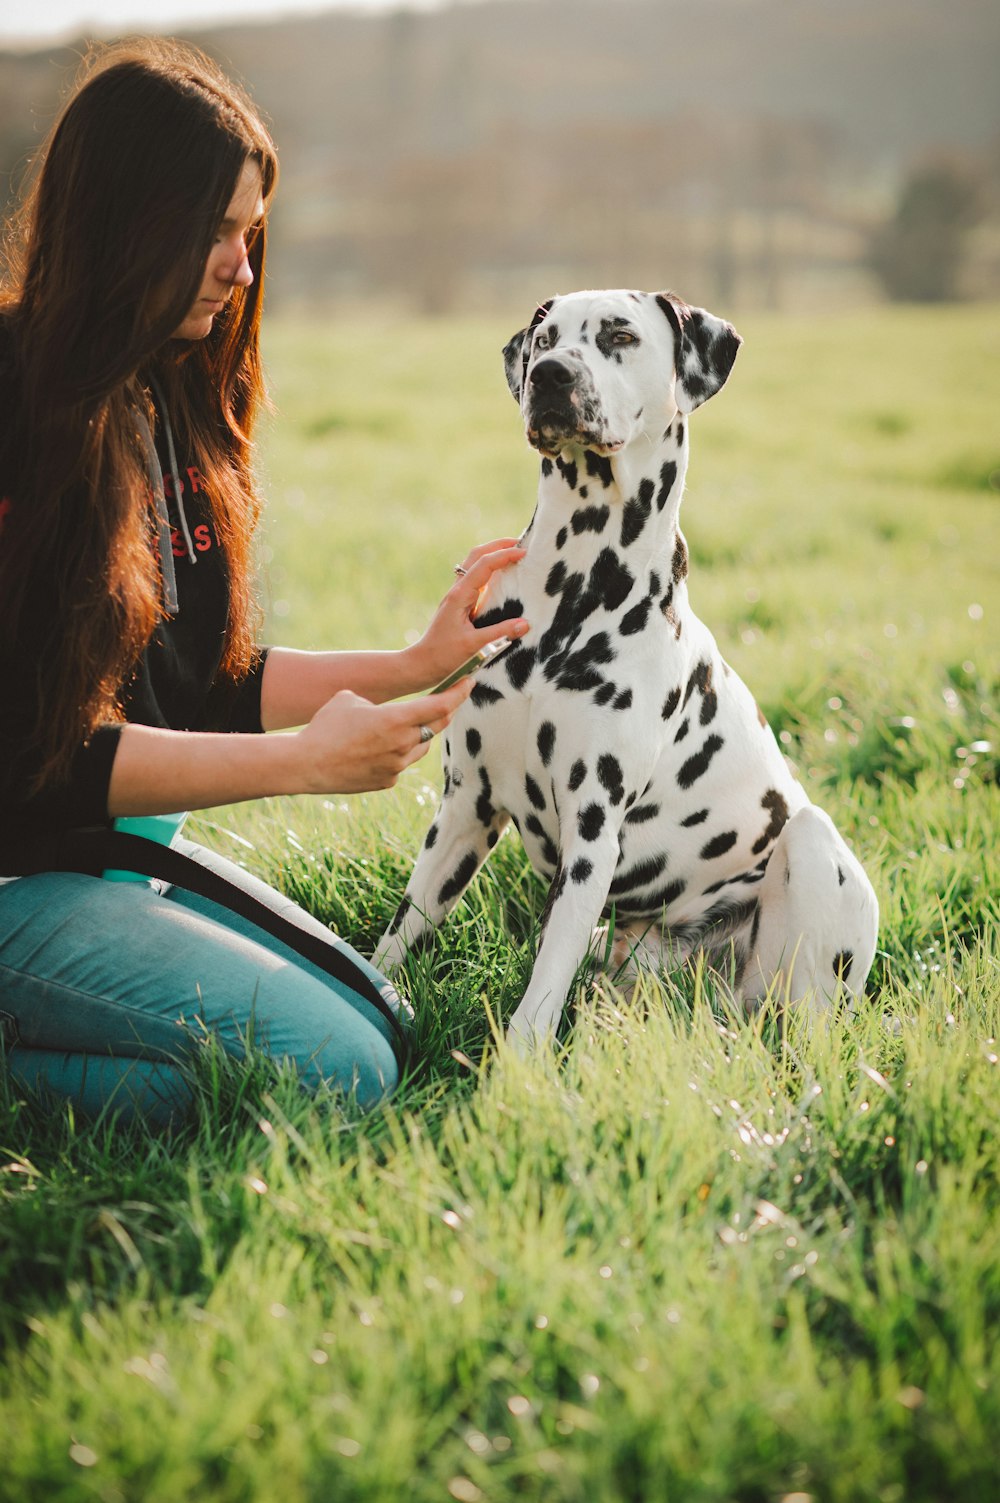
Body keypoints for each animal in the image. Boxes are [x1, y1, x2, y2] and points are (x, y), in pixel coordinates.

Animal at [372, 290, 872, 1046]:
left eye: (620, 335)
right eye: (544, 338)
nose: (550, 374)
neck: (576, 585)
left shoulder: (592, 832)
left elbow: (543, 987)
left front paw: (518, 1065)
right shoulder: (465, 808)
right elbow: (398, 935)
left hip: (810, 864)